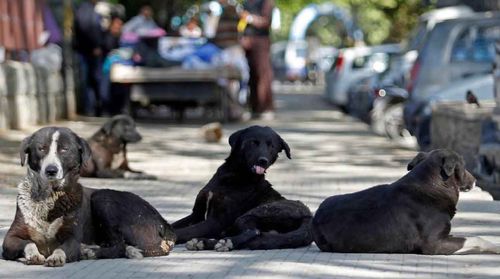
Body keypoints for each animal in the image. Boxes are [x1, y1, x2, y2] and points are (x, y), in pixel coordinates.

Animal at [0, 127, 176, 266]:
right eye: (41, 148)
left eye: (64, 149)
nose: (51, 170)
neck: (50, 197)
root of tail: (163, 222)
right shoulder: (10, 238)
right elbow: (29, 243)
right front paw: (34, 254)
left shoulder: (72, 237)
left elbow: (63, 248)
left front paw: (58, 256)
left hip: (103, 198)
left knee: (119, 245)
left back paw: (88, 252)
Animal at [172, 126, 312, 253]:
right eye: (253, 142)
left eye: (272, 146)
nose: (263, 161)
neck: (235, 176)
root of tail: (308, 216)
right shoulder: (196, 215)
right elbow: (173, 225)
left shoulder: (216, 221)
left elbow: (184, 231)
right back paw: (205, 242)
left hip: (255, 213)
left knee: (253, 231)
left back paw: (224, 243)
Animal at [312, 151, 500, 256]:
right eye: (464, 166)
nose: (476, 181)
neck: (431, 185)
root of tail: (315, 218)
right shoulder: (434, 244)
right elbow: (476, 238)